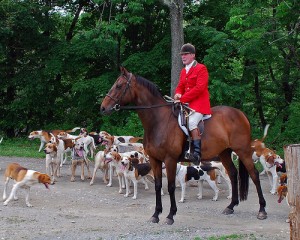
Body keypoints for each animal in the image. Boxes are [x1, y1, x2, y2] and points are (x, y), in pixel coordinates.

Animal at [100, 66, 268, 224]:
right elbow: (158, 185)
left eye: (119, 86)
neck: (158, 121)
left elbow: (171, 186)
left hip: (242, 151)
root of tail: (240, 113)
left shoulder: (170, 160)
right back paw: (231, 206)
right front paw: (156, 214)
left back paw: (262, 210)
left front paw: (170, 215)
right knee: (233, 174)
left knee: (254, 175)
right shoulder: (155, 160)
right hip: (224, 152)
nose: (103, 108)